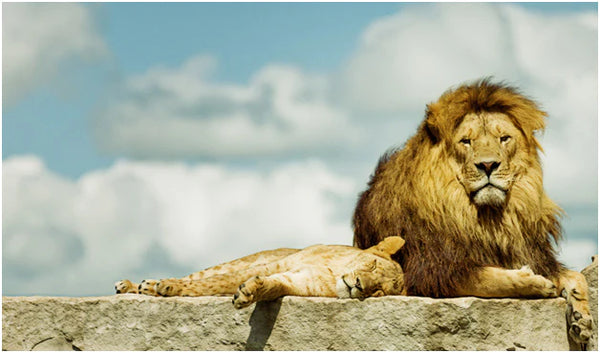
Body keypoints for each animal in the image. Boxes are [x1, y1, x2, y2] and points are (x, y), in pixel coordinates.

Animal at [354, 78, 592, 346]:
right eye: (466, 141)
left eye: (504, 138)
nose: (488, 165)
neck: (490, 219)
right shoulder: (434, 271)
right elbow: (489, 279)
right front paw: (534, 281)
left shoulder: (536, 254)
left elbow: (577, 277)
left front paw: (582, 319)